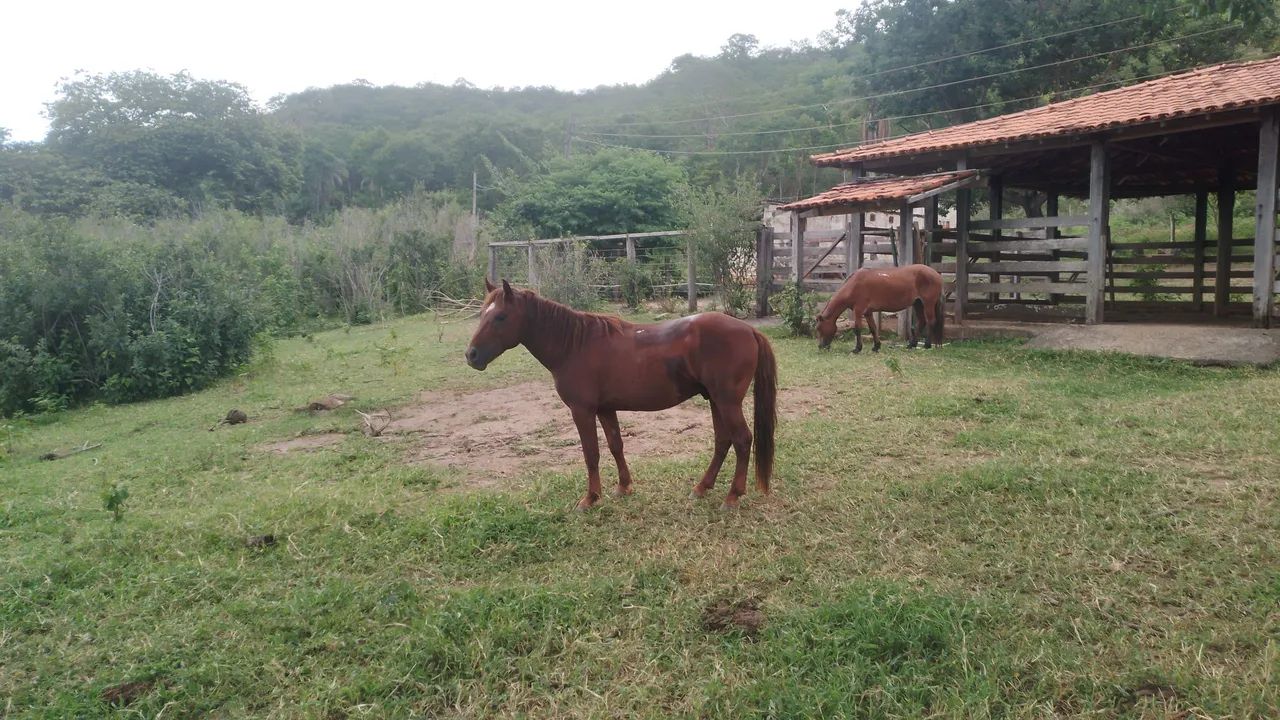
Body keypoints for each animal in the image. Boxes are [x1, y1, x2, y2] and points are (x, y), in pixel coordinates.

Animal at [465, 279, 777, 510]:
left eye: (501, 317)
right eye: (481, 314)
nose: (471, 355)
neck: (574, 345)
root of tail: (749, 330)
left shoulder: (582, 411)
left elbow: (591, 453)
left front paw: (590, 498)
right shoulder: (605, 409)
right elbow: (616, 445)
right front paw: (623, 487)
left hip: (727, 401)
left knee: (742, 440)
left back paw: (732, 496)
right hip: (715, 400)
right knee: (723, 441)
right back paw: (702, 487)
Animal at [815, 264, 944, 352]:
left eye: (819, 328)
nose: (821, 346)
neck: (854, 285)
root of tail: (936, 274)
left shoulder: (858, 310)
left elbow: (857, 329)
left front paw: (857, 348)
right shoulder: (867, 312)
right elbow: (873, 328)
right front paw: (876, 346)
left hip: (928, 303)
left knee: (931, 321)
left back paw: (927, 345)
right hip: (918, 304)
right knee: (922, 321)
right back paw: (911, 344)